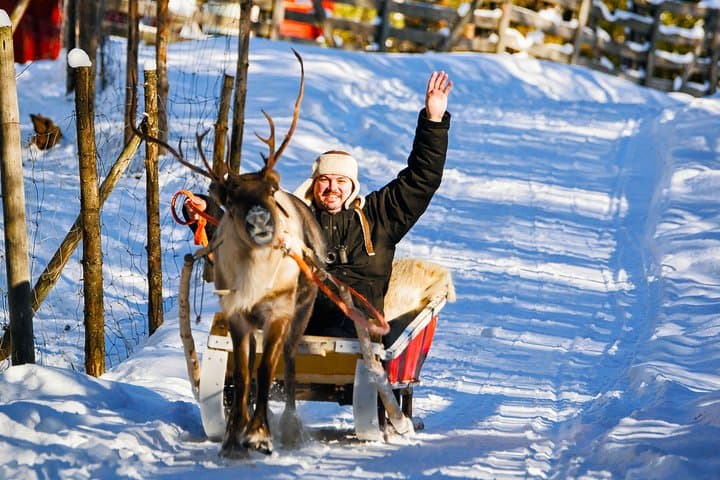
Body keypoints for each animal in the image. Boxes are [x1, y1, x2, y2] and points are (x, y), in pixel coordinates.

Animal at [134, 50, 326, 457]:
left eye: (271, 191)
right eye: (232, 200)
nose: (260, 221)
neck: (254, 279)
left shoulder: (278, 313)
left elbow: (266, 372)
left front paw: (260, 435)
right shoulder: (235, 314)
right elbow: (243, 371)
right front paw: (234, 436)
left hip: (301, 312)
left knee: (287, 363)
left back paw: (289, 427)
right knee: (251, 368)